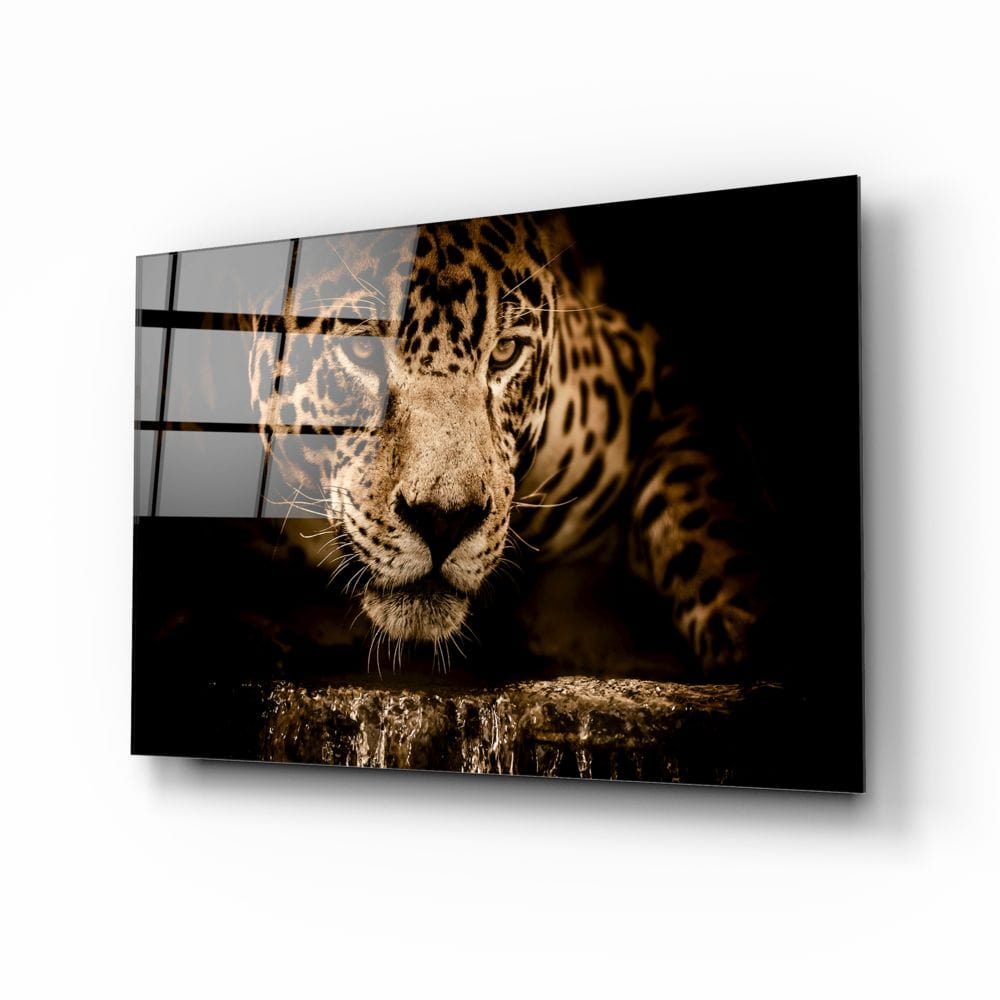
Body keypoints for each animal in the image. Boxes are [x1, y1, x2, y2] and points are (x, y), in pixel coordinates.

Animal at [247, 212, 768, 676]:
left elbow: (700, 504)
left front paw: (744, 625)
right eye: (361, 349)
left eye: (504, 352)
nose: (444, 520)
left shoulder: (657, 369)